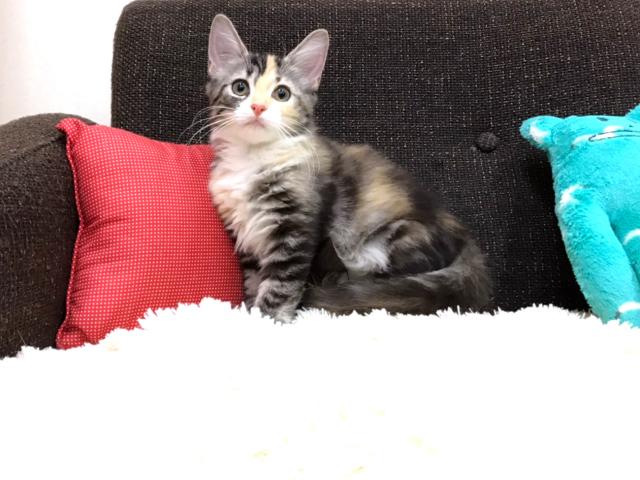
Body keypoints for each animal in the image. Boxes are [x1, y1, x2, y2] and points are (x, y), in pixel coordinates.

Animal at [206, 14, 492, 322]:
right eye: (240, 88)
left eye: (282, 94)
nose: (258, 107)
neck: (253, 157)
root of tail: (462, 236)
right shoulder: (246, 237)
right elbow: (253, 282)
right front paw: (249, 311)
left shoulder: (296, 231)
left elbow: (280, 286)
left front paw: (267, 319)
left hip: (394, 240)